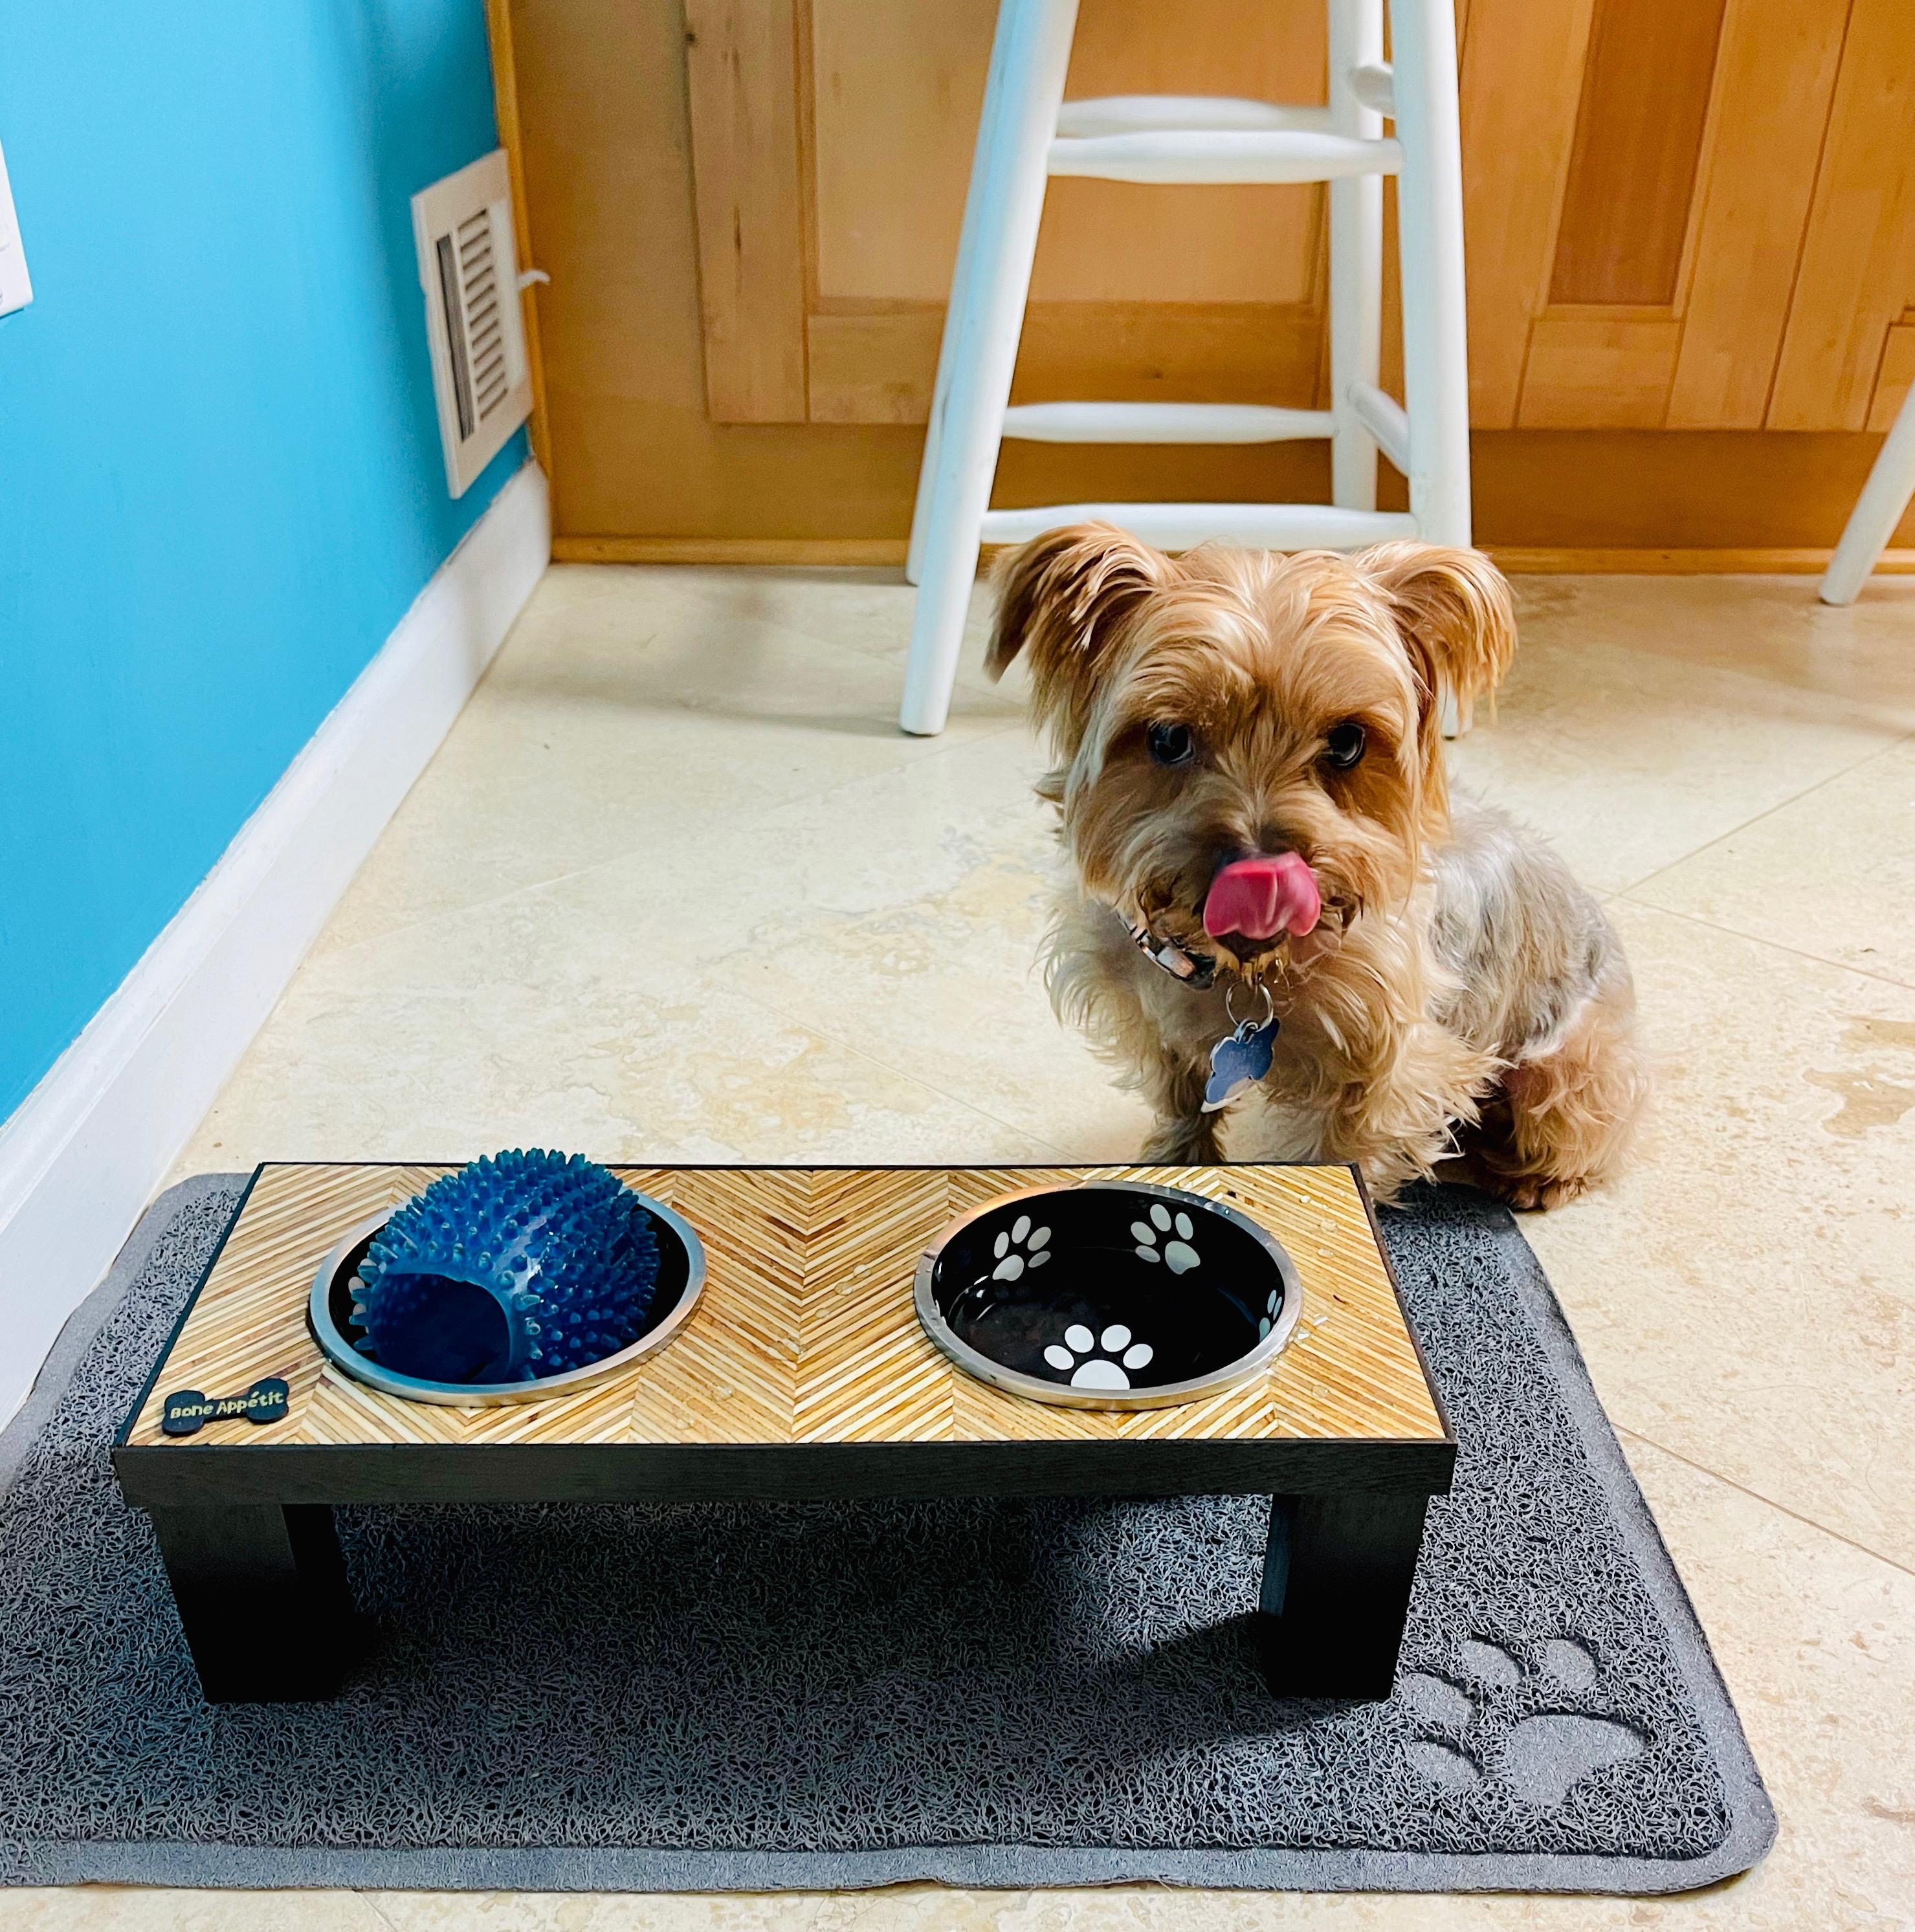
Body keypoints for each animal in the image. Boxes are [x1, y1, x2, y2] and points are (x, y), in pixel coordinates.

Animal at [989, 521, 1646, 1198]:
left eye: (1347, 743)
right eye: (1167, 738)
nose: (1262, 877)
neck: (1238, 971)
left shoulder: (1389, 1059)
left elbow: (1347, 1147)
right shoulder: (1146, 1017)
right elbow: (1179, 1098)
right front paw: (1174, 1156)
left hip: (1571, 1068)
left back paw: (1533, 1176)